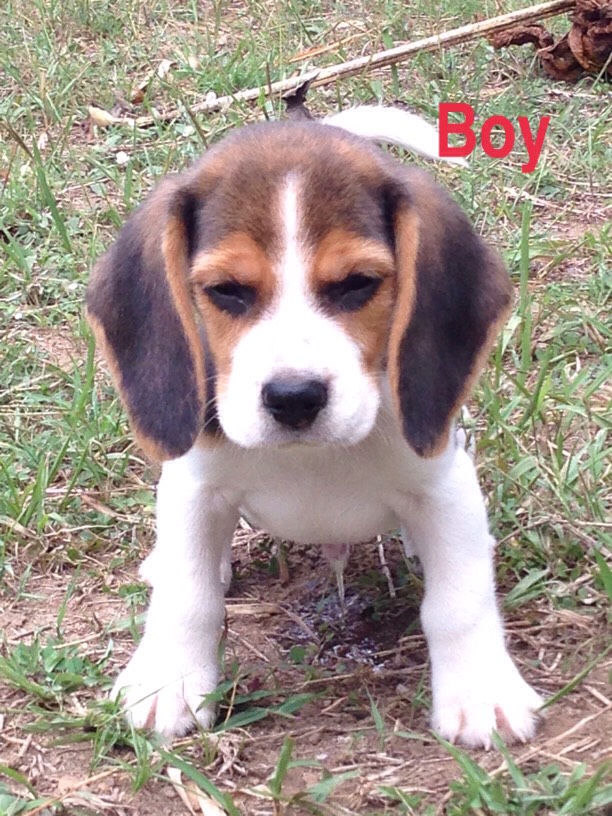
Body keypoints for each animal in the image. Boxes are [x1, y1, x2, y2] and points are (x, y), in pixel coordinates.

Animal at [86, 106, 542, 748]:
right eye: (226, 291)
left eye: (357, 284)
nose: (294, 397)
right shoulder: (194, 486)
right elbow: (188, 595)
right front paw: (168, 681)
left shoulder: (443, 486)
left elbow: (459, 600)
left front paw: (481, 693)